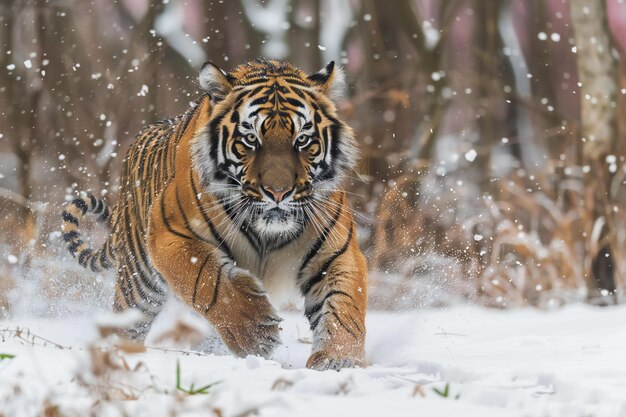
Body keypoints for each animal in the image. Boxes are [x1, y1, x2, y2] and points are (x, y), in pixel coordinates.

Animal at [60, 58, 366, 370]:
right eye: (251, 139)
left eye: (302, 140)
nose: (278, 193)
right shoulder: (167, 234)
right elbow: (207, 279)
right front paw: (256, 333)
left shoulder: (337, 252)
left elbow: (344, 303)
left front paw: (339, 359)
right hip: (138, 283)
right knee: (125, 321)